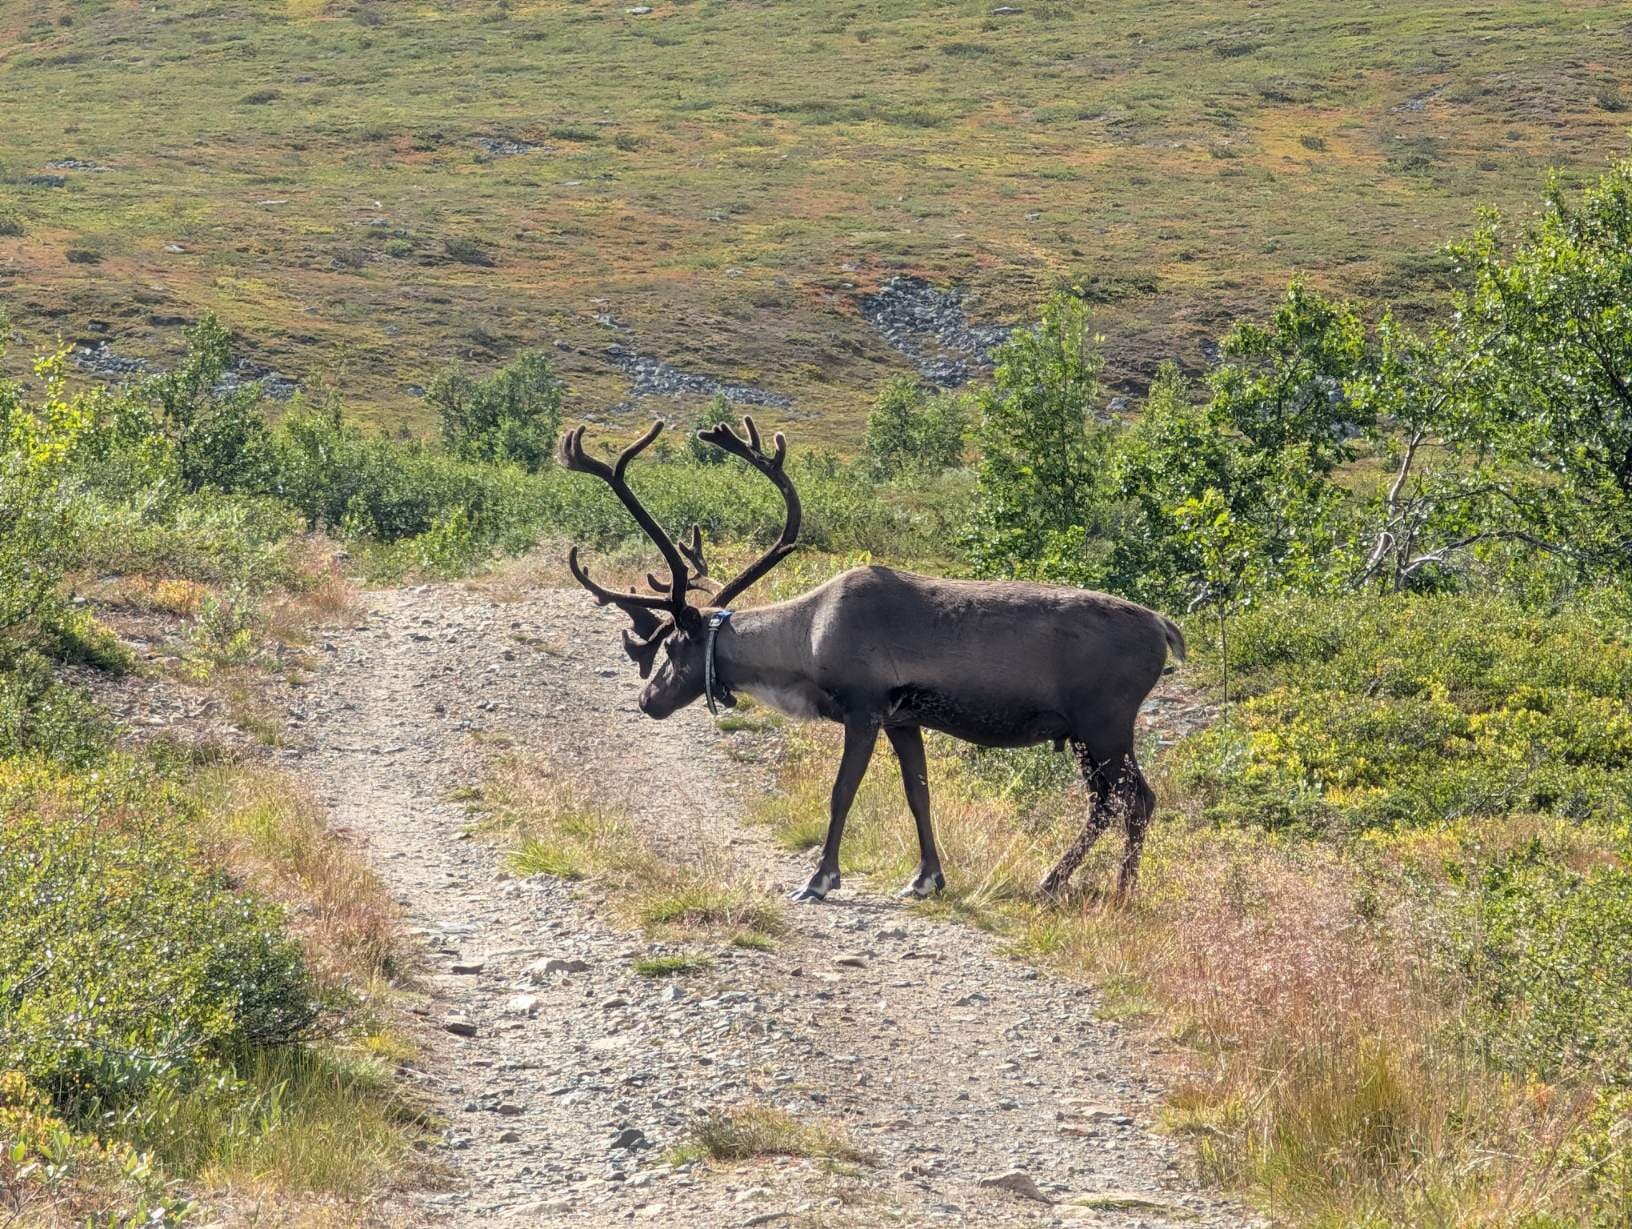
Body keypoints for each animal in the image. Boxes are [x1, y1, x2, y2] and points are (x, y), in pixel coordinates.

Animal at [557, 416, 1185, 904]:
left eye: (670, 646)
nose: (647, 700)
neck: (807, 639)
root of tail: (1165, 627)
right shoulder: (905, 719)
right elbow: (918, 794)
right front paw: (926, 878)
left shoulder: (863, 709)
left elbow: (841, 792)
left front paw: (819, 879)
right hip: (1087, 733)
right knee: (1111, 803)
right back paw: (1066, 883)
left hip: (1104, 723)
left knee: (1132, 801)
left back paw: (1106, 889)